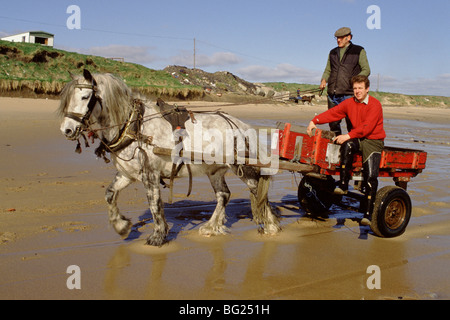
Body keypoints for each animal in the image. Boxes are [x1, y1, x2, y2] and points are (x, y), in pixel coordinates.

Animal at [58, 69, 280, 245]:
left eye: (85, 97)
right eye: (68, 99)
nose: (66, 130)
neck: (134, 126)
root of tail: (239, 124)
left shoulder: (150, 174)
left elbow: (155, 204)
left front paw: (157, 236)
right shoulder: (127, 174)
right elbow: (110, 194)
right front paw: (121, 226)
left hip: (240, 166)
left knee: (257, 189)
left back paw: (271, 225)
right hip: (214, 170)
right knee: (224, 195)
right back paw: (211, 226)